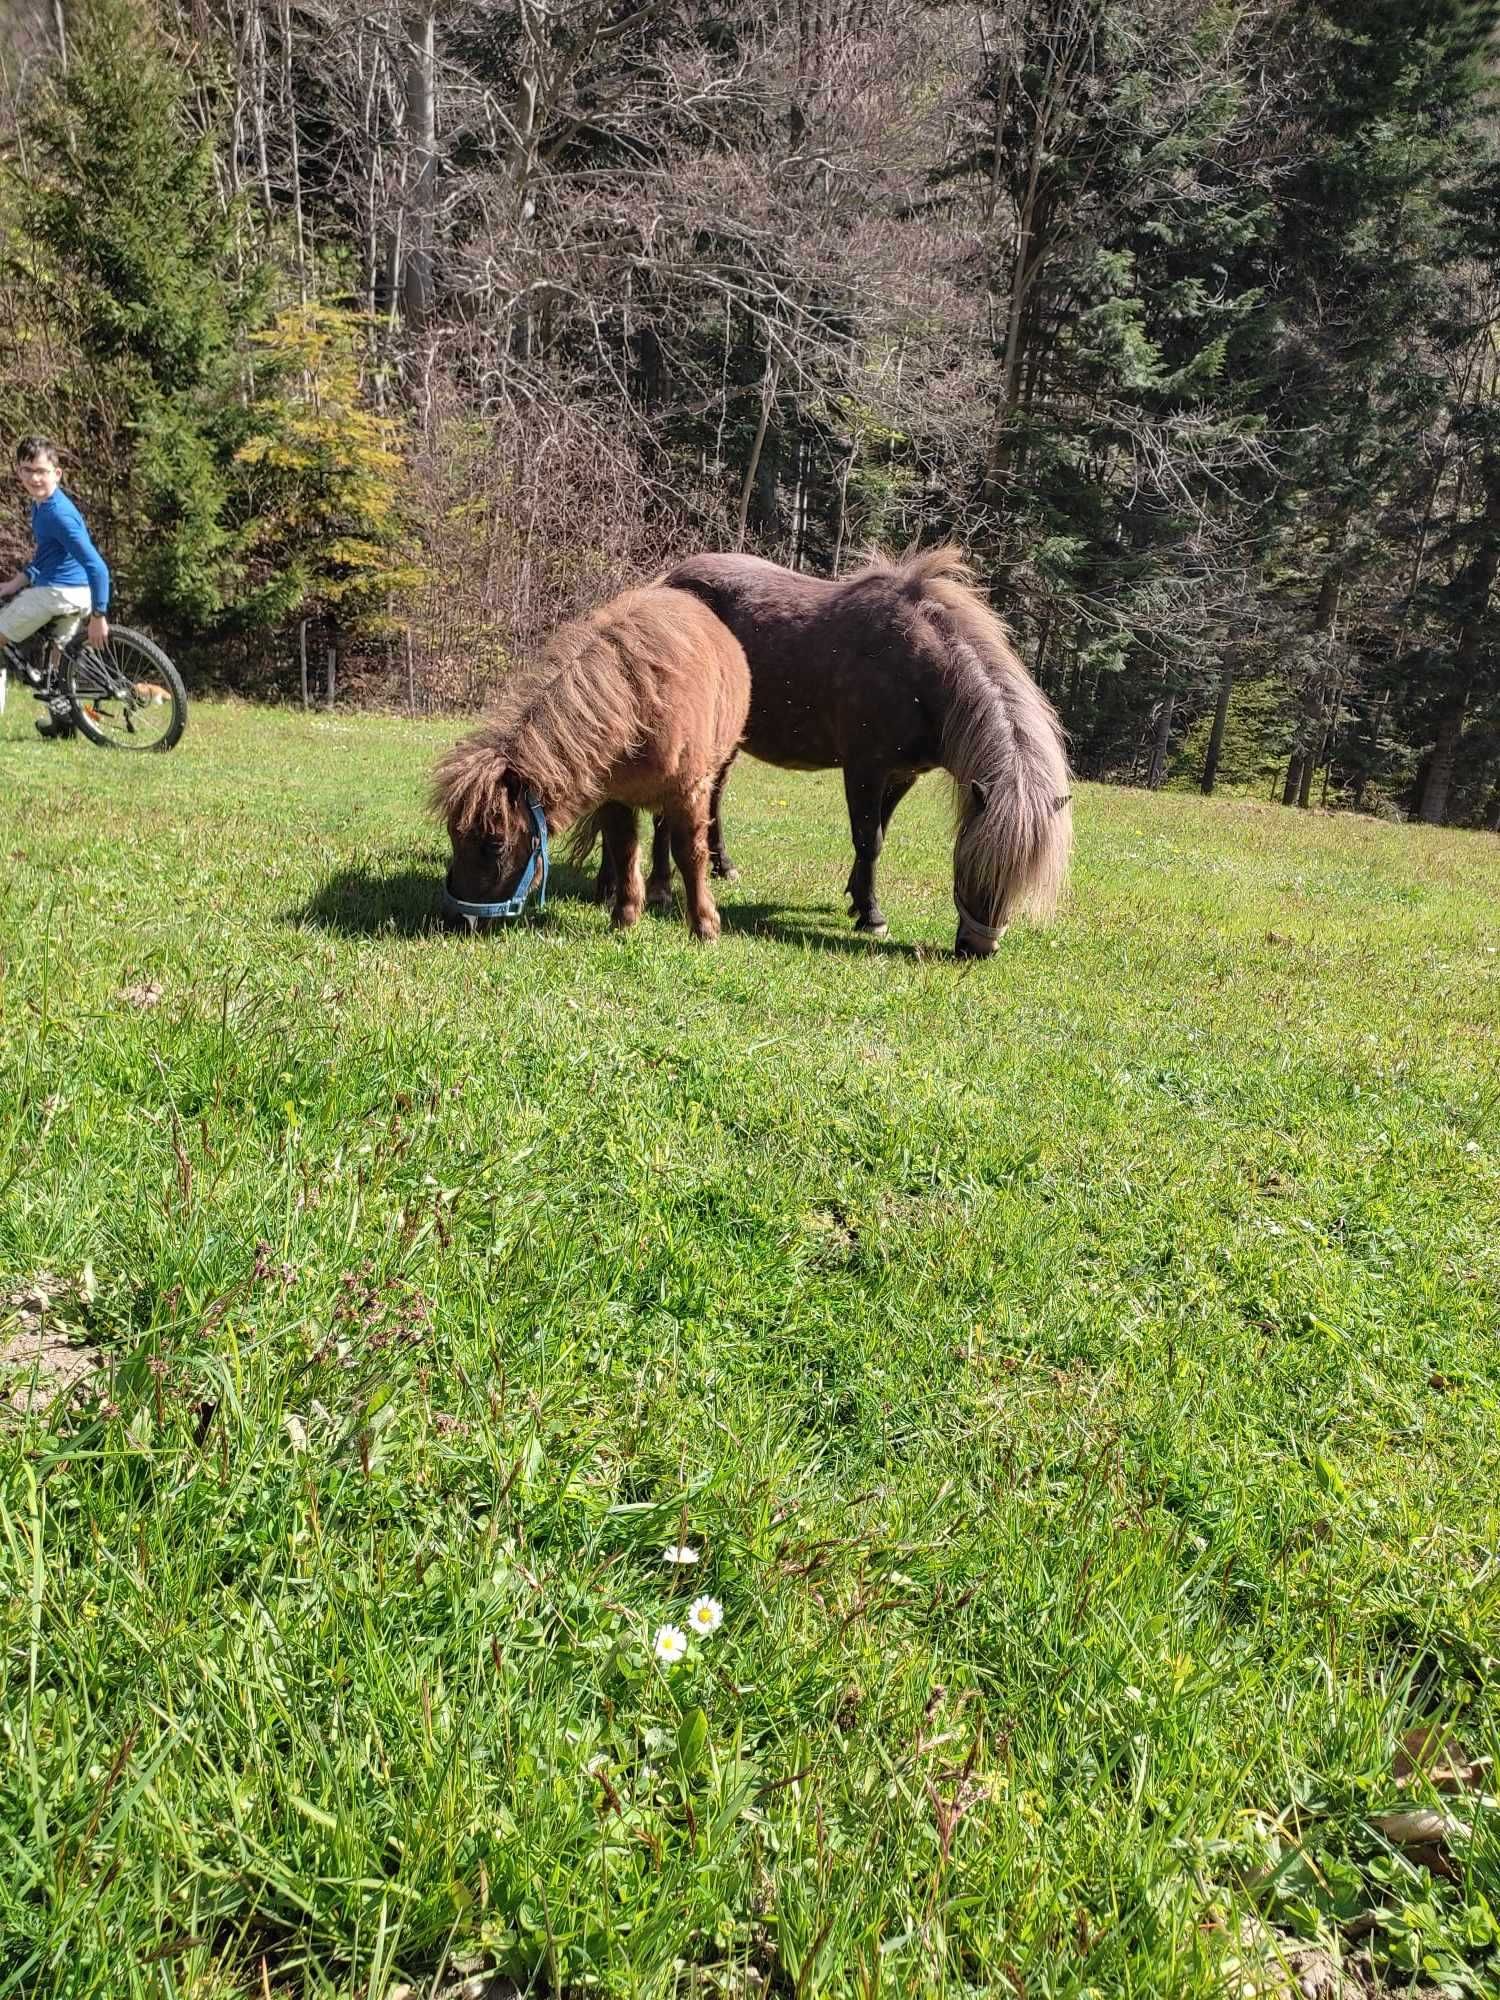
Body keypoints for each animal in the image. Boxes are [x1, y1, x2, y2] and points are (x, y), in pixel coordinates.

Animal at [434, 588, 752, 940]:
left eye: (495, 844)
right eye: (453, 835)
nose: (456, 920)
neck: (638, 701)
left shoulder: (689, 790)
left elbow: (690, 855)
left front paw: (704, 926)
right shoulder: (614, 797)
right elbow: (624, 850)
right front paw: (625, 917)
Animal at [652, 544, 1072, 956]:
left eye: (1022, 879)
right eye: (973, 863)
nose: (979, 948)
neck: (919, 671)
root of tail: (669, 581)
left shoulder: (902, 775)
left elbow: (878, 832)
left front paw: (856, 899)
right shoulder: (864, 769)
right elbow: (870, 839)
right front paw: (871, 915)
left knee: (712, 794)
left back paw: (721, 865)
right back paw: (661, 885)